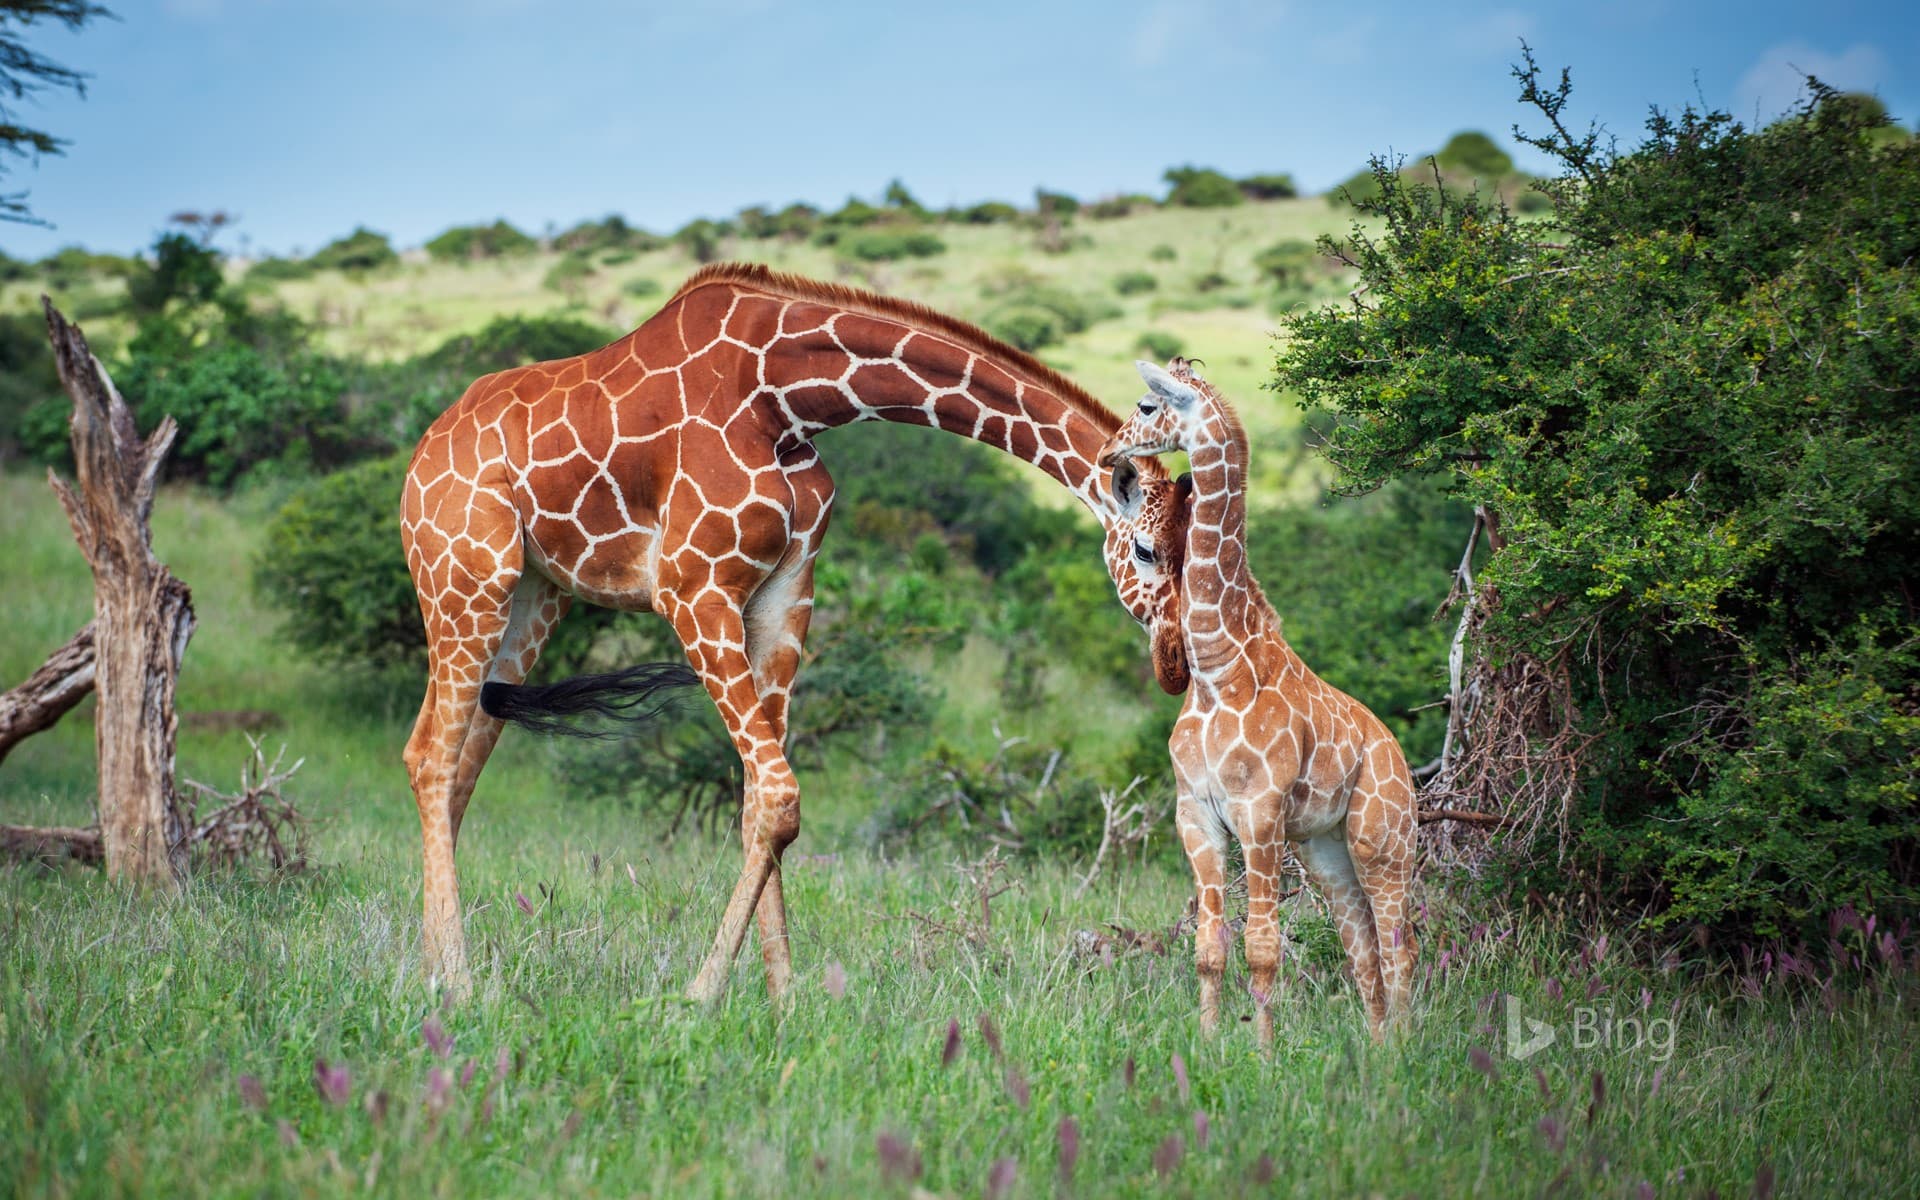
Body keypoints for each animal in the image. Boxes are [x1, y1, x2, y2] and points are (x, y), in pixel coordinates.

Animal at [400, 263, 1166, 1003]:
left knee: (455, 759)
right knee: (431, 756)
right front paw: (698, 997)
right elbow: (778, 795)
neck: (786, 401)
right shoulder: (694, 586)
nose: (1173, 662)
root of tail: (421, 452)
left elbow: (757, 804)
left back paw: (432, 966)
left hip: (534, 596)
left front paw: (784, 1001)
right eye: (1148, 550)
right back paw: (459, 983)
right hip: (464, 577)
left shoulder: (786, 592)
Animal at [1098, 358, 1418, 1044]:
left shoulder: (1261, 815)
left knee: (1399, 945)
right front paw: (1210, 1044)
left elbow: (1264, 948)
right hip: (1326, 848)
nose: (1111, 452)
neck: (1219, 667)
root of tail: (1400, 755)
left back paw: (1405, 1049)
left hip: (1382, 840)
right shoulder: (1196, 815)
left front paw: (1263, 1055)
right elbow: (1209, 947)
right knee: (1363, 948)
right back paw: (1378, 1050)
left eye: (1146, 404)